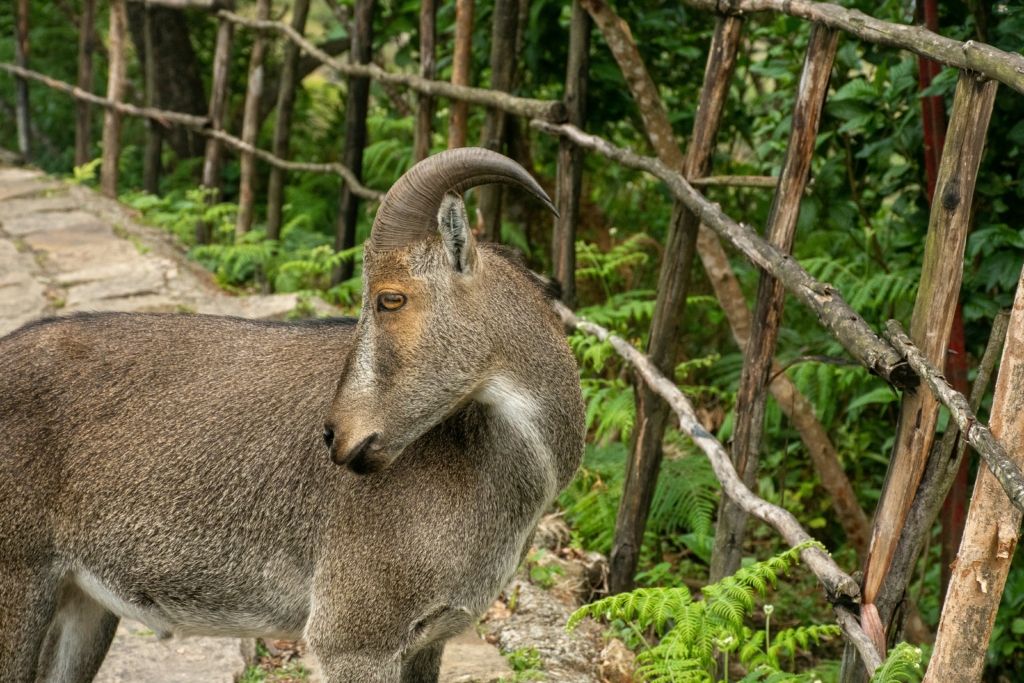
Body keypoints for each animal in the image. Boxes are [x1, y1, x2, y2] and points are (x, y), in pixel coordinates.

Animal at [0, 148, 585, 683]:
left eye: (390, 298)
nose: (337, 435)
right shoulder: (354, 637)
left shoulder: (428, 640)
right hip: (18, 583)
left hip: (81, 602)